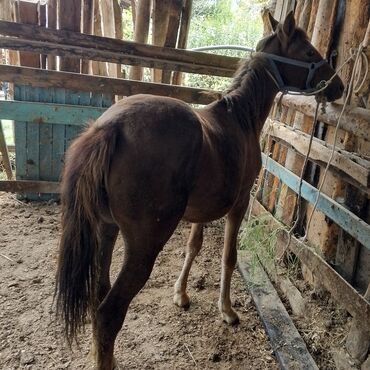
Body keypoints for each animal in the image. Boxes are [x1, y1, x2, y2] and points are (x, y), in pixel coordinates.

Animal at [55, 11, 344, 370]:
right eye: (308, 52)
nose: (337, 85)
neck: (240, 118)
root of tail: (110, 127)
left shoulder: (200, 211)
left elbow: (193, 247)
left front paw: (181, 294)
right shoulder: (239, 204)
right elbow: (228, 257)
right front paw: (227, 310)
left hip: (106, 231)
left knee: (99, 297)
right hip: (143, 246)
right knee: (109, 313)